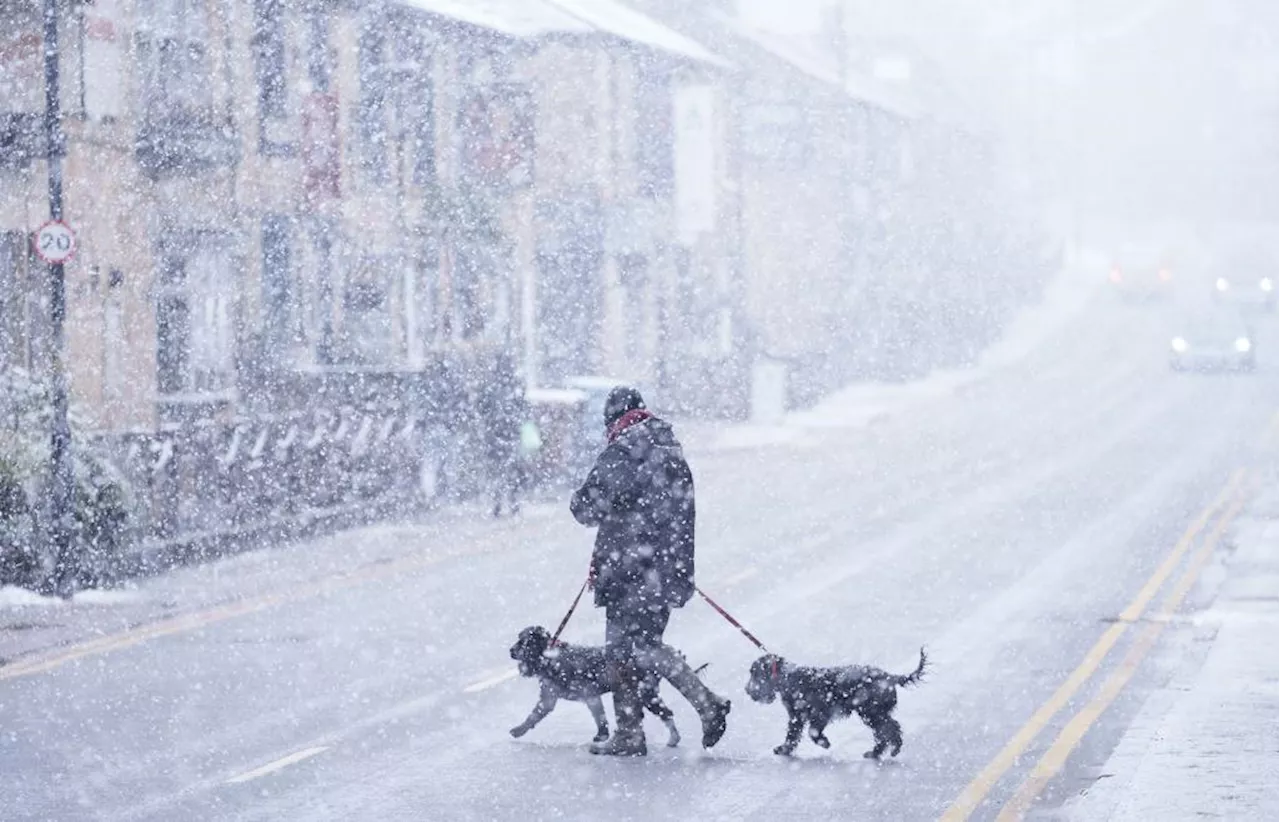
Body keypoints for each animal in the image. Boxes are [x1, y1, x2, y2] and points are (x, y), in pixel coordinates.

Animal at [509, 624, 691, 747]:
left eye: (523, 642)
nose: (510, 650)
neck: (550, 658)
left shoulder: (588, 694)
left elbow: (598, 716)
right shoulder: (550, 697)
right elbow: (534, 715)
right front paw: (520, 729)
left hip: (646, 693)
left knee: (666, 713)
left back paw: (673, 738)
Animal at [742, 645, 931, 757]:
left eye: (754, 674)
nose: (747, 690)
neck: (788, 678)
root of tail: (890, 677)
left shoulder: (815, 713)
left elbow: (810, 732)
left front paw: (824, 743)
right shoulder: (798, 716)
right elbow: (793, 735)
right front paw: (785, 749)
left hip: (871, 712)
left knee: (889, 729)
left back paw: (888, 750)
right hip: (873, 713)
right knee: (886, 730)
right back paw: (880, 752)